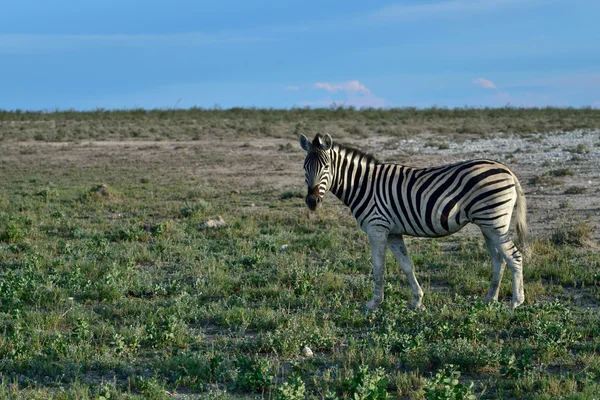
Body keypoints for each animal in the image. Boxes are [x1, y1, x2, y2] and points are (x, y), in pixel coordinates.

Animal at [298, 133, 524, 310]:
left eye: (326, 167)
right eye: (304, 167)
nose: (312, 201)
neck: (362, 185)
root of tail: (508, 170)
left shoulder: (377, 228)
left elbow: (378, 266)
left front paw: (374, 303)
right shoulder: (393, 232)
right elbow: (407, 265)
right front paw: (417, 301)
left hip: (495, 223)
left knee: (514, 256)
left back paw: (515, 302)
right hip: (487, 225)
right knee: (498, 260)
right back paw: (490, 299)